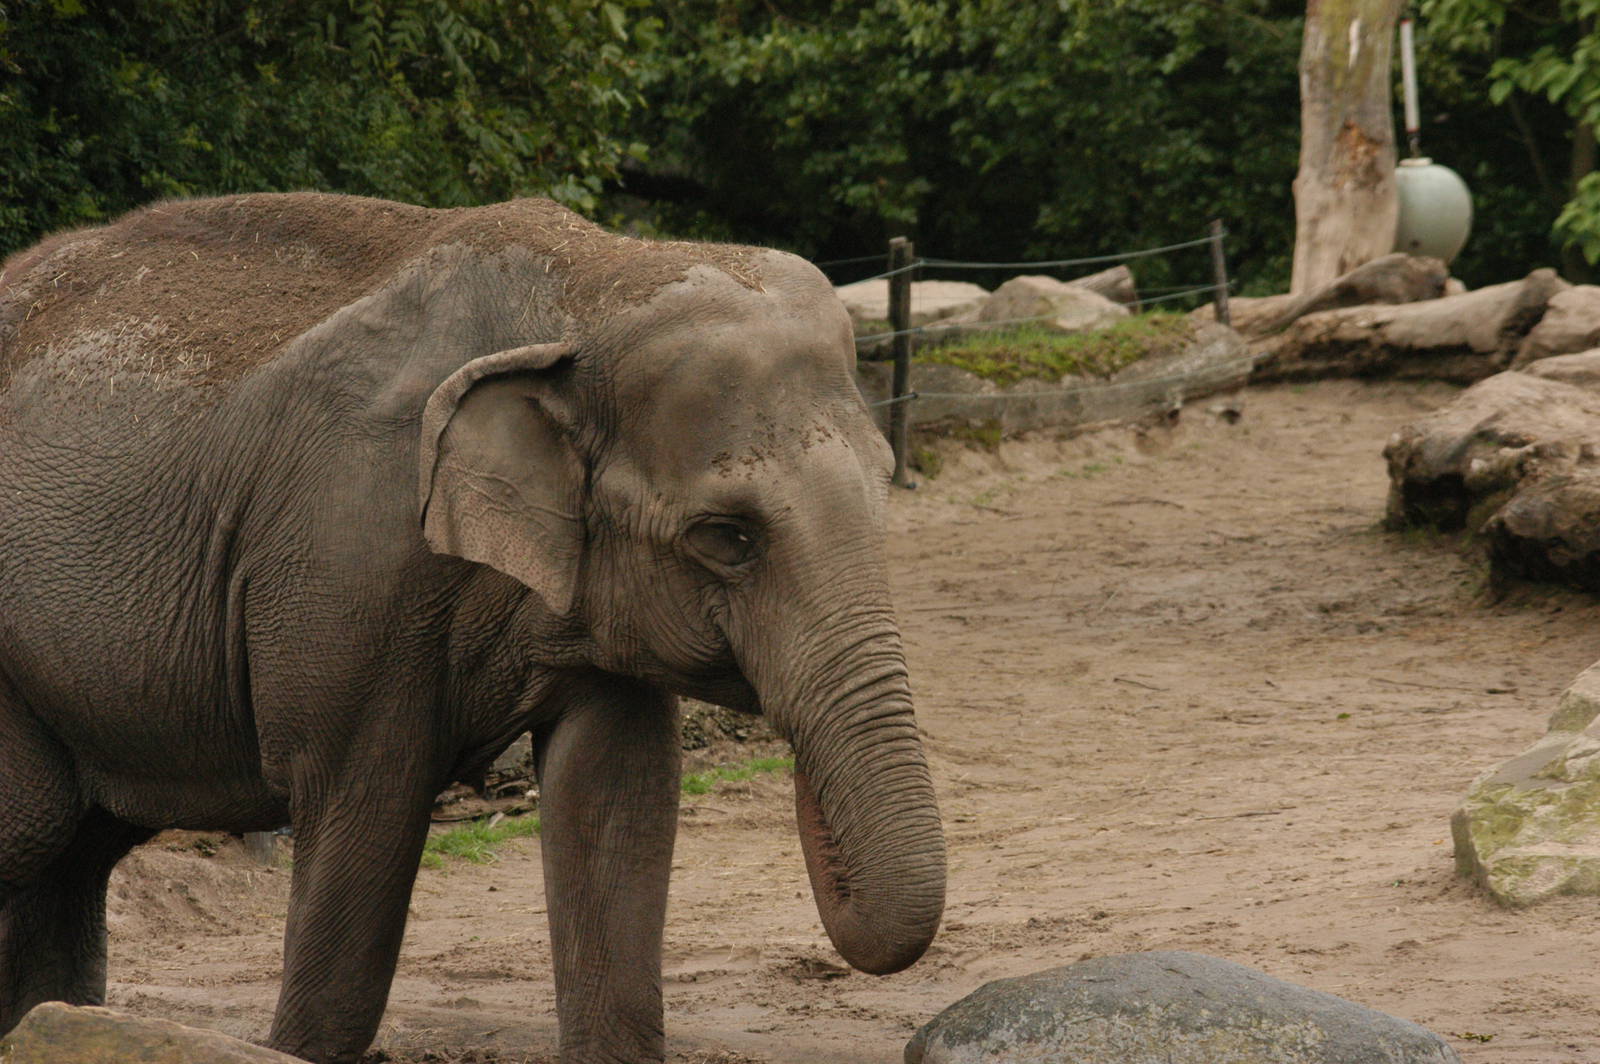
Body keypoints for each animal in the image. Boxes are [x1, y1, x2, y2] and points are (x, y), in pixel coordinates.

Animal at [0, 193, 945, 1063]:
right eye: (727, 537)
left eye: (885, 481)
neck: (592, 285)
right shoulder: (345, 566)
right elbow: (364, 823)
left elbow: (616, 805)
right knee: (37, 829)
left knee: (71, 856)